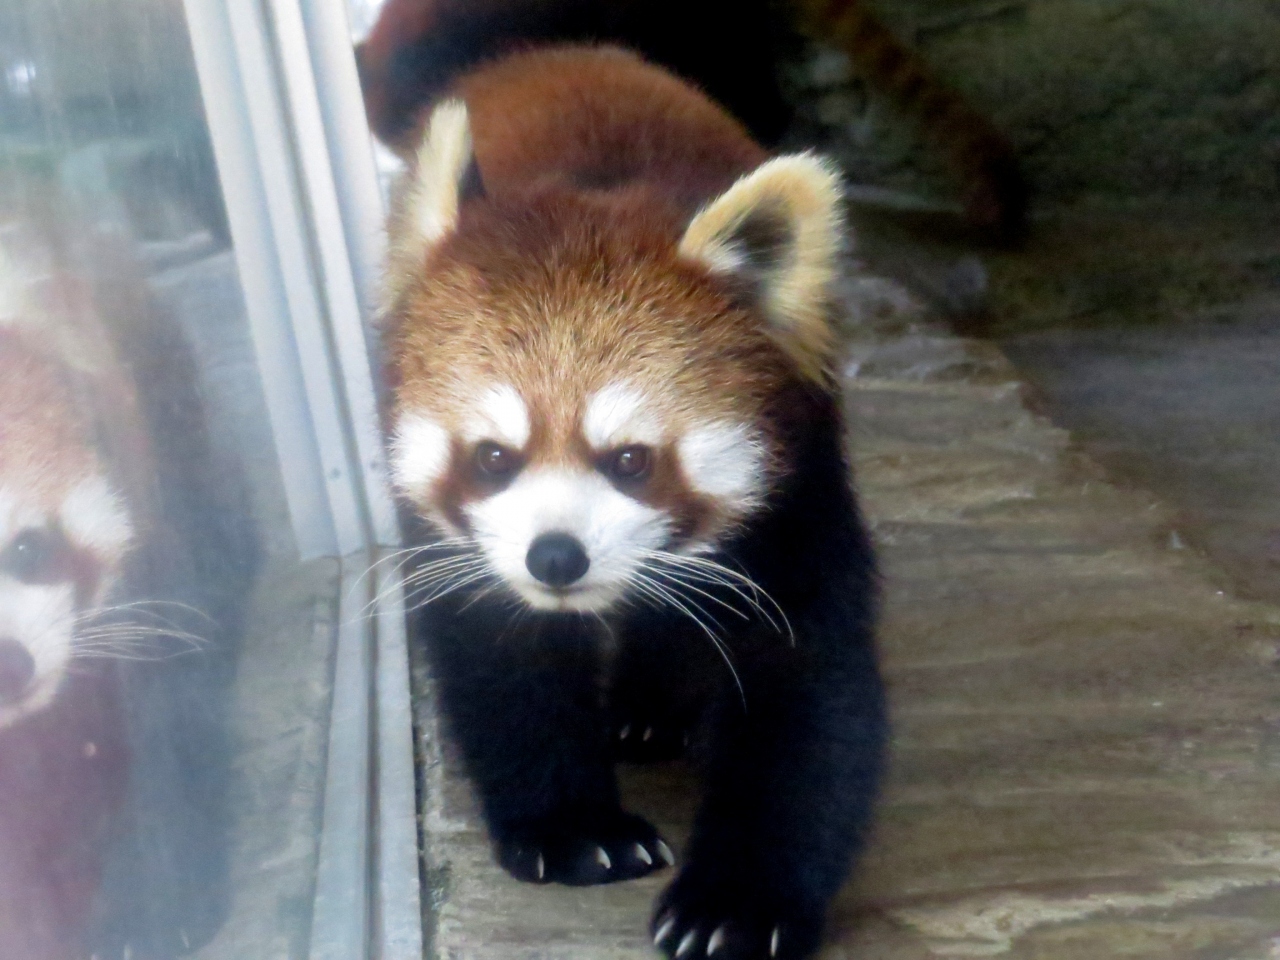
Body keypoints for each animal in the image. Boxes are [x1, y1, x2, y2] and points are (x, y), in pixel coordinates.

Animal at [384, 45, 885, 960]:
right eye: (493, 457)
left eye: (631, 460)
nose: (556, 556)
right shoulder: (471, 554)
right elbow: (505, 663)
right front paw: (573, 830)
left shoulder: (799, 489)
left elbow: (803, 690)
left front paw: (737, 903)